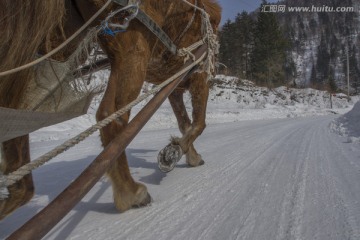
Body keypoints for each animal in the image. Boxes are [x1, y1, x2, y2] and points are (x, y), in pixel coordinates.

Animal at [0, 0, 221, 219]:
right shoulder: (199, 77)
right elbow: (199, 124)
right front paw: (173, 152)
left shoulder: (174, 85)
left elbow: (185, 123)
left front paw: (190, 155)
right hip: (133, 47)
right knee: (111, 116)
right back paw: (129, 192)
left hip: (64, 39)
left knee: (22, 103)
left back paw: (16, 193)